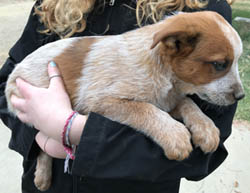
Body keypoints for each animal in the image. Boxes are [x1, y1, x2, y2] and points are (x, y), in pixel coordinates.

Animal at [5, 11, 244, 191]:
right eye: (220, 64)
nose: (241, 96)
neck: (165, 74)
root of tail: (14, 72)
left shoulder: (168, 100)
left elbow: (189, 103)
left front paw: (206, 128)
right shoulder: (98, 100)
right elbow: (144, 109)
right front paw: (174, 135)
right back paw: (43, 176)